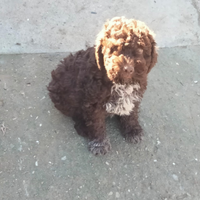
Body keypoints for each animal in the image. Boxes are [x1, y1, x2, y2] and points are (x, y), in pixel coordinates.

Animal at [47, 16, 158, 155]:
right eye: (114, 49)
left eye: (140, 50)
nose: (128, 69)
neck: (120, 83)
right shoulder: (93, 102)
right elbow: (97, 123)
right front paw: (99, 143)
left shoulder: (135, 95)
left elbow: (131, 113)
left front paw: (133, 130)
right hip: (63, 94)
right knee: (75, 113)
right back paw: (83, 127)